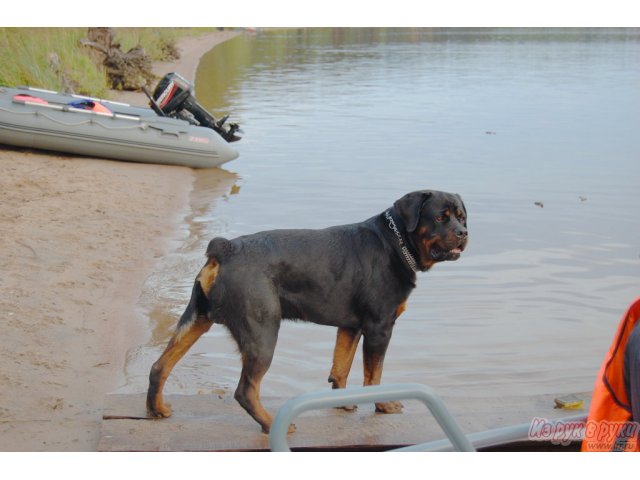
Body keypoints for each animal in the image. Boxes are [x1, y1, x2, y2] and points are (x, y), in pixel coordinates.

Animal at [149, 189, 470, 434]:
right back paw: (271, 424)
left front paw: (343, 402)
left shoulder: (351, 326)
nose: (464, 232)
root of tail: (226, 248)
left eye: (461, 216)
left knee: (160, 366)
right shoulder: (380, 327)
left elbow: (340, 367)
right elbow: (373, 374)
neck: (395, 243)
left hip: (196, 319)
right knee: (246, 390)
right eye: (440, 217)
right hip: (262, 332)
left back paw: (157, 408)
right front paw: (382, 404)